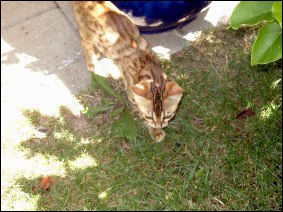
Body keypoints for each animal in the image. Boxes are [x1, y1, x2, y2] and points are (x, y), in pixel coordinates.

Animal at [73, 1, 184, 142]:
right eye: (148, 116)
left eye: (168, 116)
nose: (160, 125)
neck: (149, 67)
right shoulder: (132, 95)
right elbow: (138, 110)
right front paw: (155, 131)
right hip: (86, 33)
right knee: (84, 41)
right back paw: (91, 61)